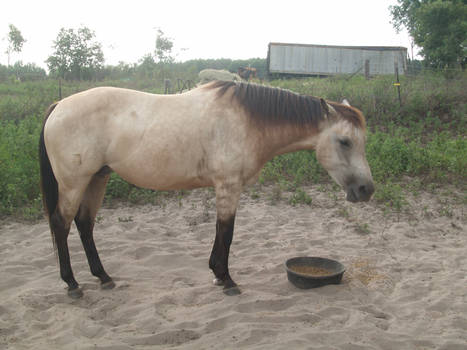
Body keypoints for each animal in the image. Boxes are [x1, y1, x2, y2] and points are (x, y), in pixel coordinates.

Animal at [40, 82, 376, 298]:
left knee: (84, 224)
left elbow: (222, 231)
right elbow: (226, 231)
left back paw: (104, 277)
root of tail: (59, 106)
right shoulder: (228, 185)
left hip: (97, 178)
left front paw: (218, 276)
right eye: (345, 141)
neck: (247, 121)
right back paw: (72, 284)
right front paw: (225, 279)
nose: (366, 189)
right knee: (61, 223)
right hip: (74, 182)